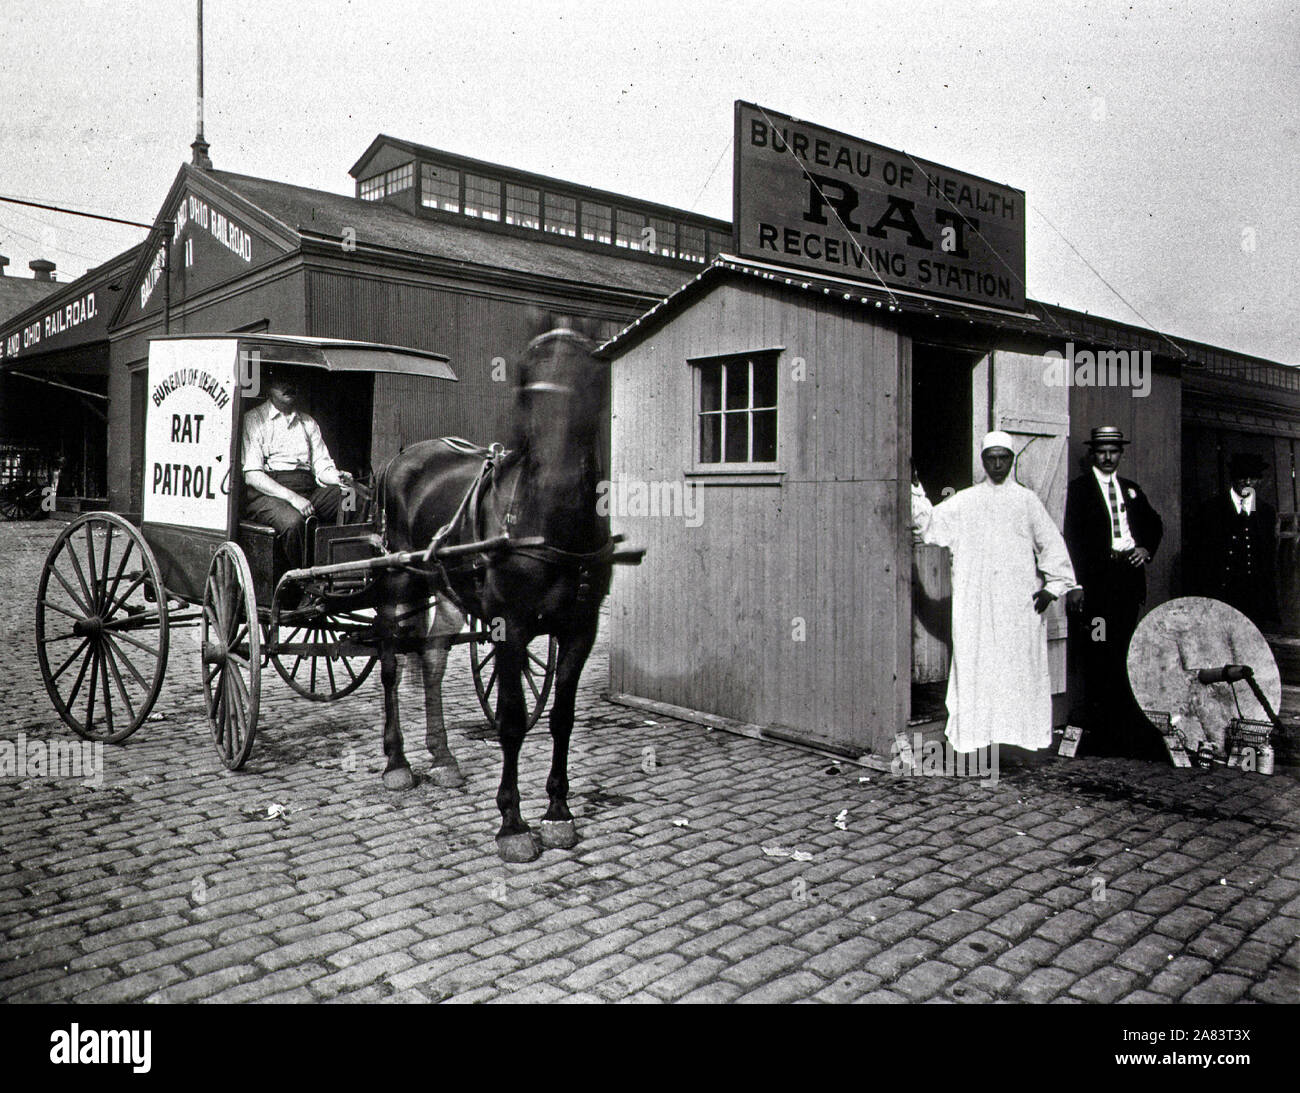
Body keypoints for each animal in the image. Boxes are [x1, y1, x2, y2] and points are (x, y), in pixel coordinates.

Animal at [377, 315, 613, 862]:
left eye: (593, 373)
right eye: (525, 382)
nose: (555, 483)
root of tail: (404, 457)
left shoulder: (581, 628)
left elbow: (562, 717)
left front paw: (558, 812)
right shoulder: (512, 628)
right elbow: (511, 719)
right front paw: (513, 823)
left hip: (446, 589)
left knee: (433, 656)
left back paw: (442, 757)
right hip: (398, 579)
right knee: (392, 664)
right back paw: (397, 762)